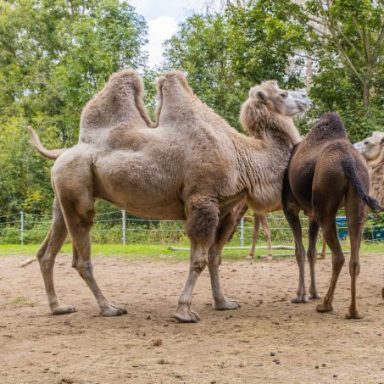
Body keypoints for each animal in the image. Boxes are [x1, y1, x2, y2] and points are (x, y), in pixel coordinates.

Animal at [30, 70, 312, 322]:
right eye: (283, 93)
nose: (306, 98)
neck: (243, 158)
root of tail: (64, 152)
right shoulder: (202, 200)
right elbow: (198, 260)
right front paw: (184, 311)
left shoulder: (225, 208)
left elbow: (214, 257)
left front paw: (223, 302)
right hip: (77, 191)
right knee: (81, 258)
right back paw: (109, 307)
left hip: (62, 197)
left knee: (46, 252)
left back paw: (58, 307)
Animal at [282, 112, 380, 320]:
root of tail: (348, 162)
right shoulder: (311, 213)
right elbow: (311, 252)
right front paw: (312, 293)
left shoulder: (290, 207)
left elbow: (299, 251)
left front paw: (300, 295)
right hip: (357, 200)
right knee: (354, 258)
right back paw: (353, 311)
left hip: (325, 204)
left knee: (339, 257)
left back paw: (326, 305)